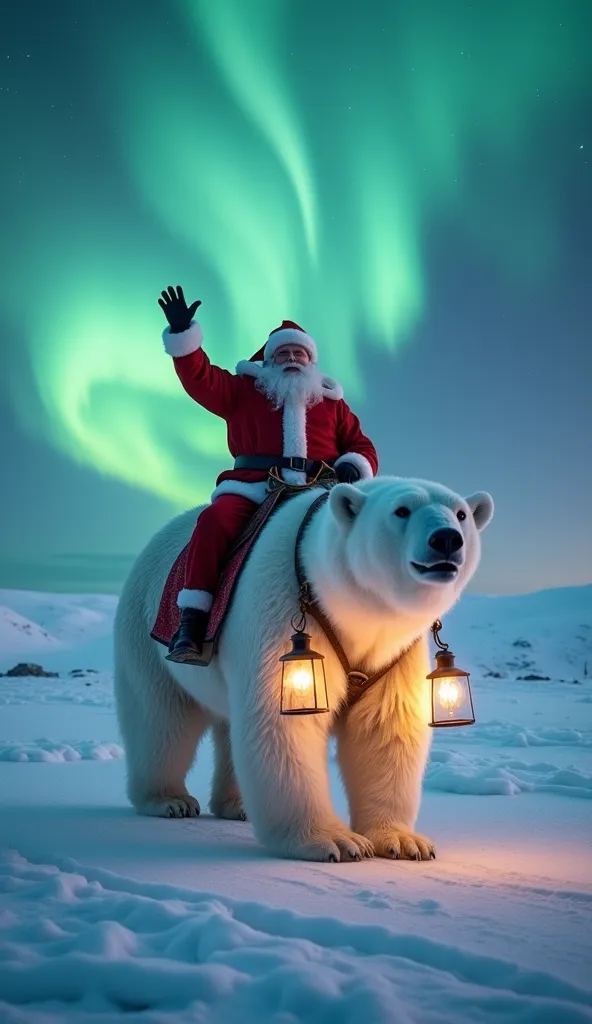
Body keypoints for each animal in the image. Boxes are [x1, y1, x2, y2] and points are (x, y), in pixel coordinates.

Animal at [112, 475, 491, 860]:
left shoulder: (394, 652)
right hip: (146, 629)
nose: (446, 539)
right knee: (161, 718)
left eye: (461, 514)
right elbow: (285, 724)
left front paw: (403, 841)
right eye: (402, 510)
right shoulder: (286, 612)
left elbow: (385, 726)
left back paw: (238, 805)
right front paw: (336, 841)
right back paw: (170, 800)